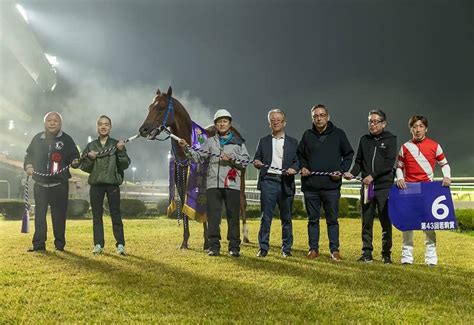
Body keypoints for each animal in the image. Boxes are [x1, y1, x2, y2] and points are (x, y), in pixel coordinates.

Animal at [139, 86, 250, 248]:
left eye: (161, 108)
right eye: (149, 107)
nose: (143, 130)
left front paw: (207, 241)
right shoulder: (181, 179)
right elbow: (186, 205)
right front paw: (185, 241)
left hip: (240, 178)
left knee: (241, 201)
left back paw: (245, 236)